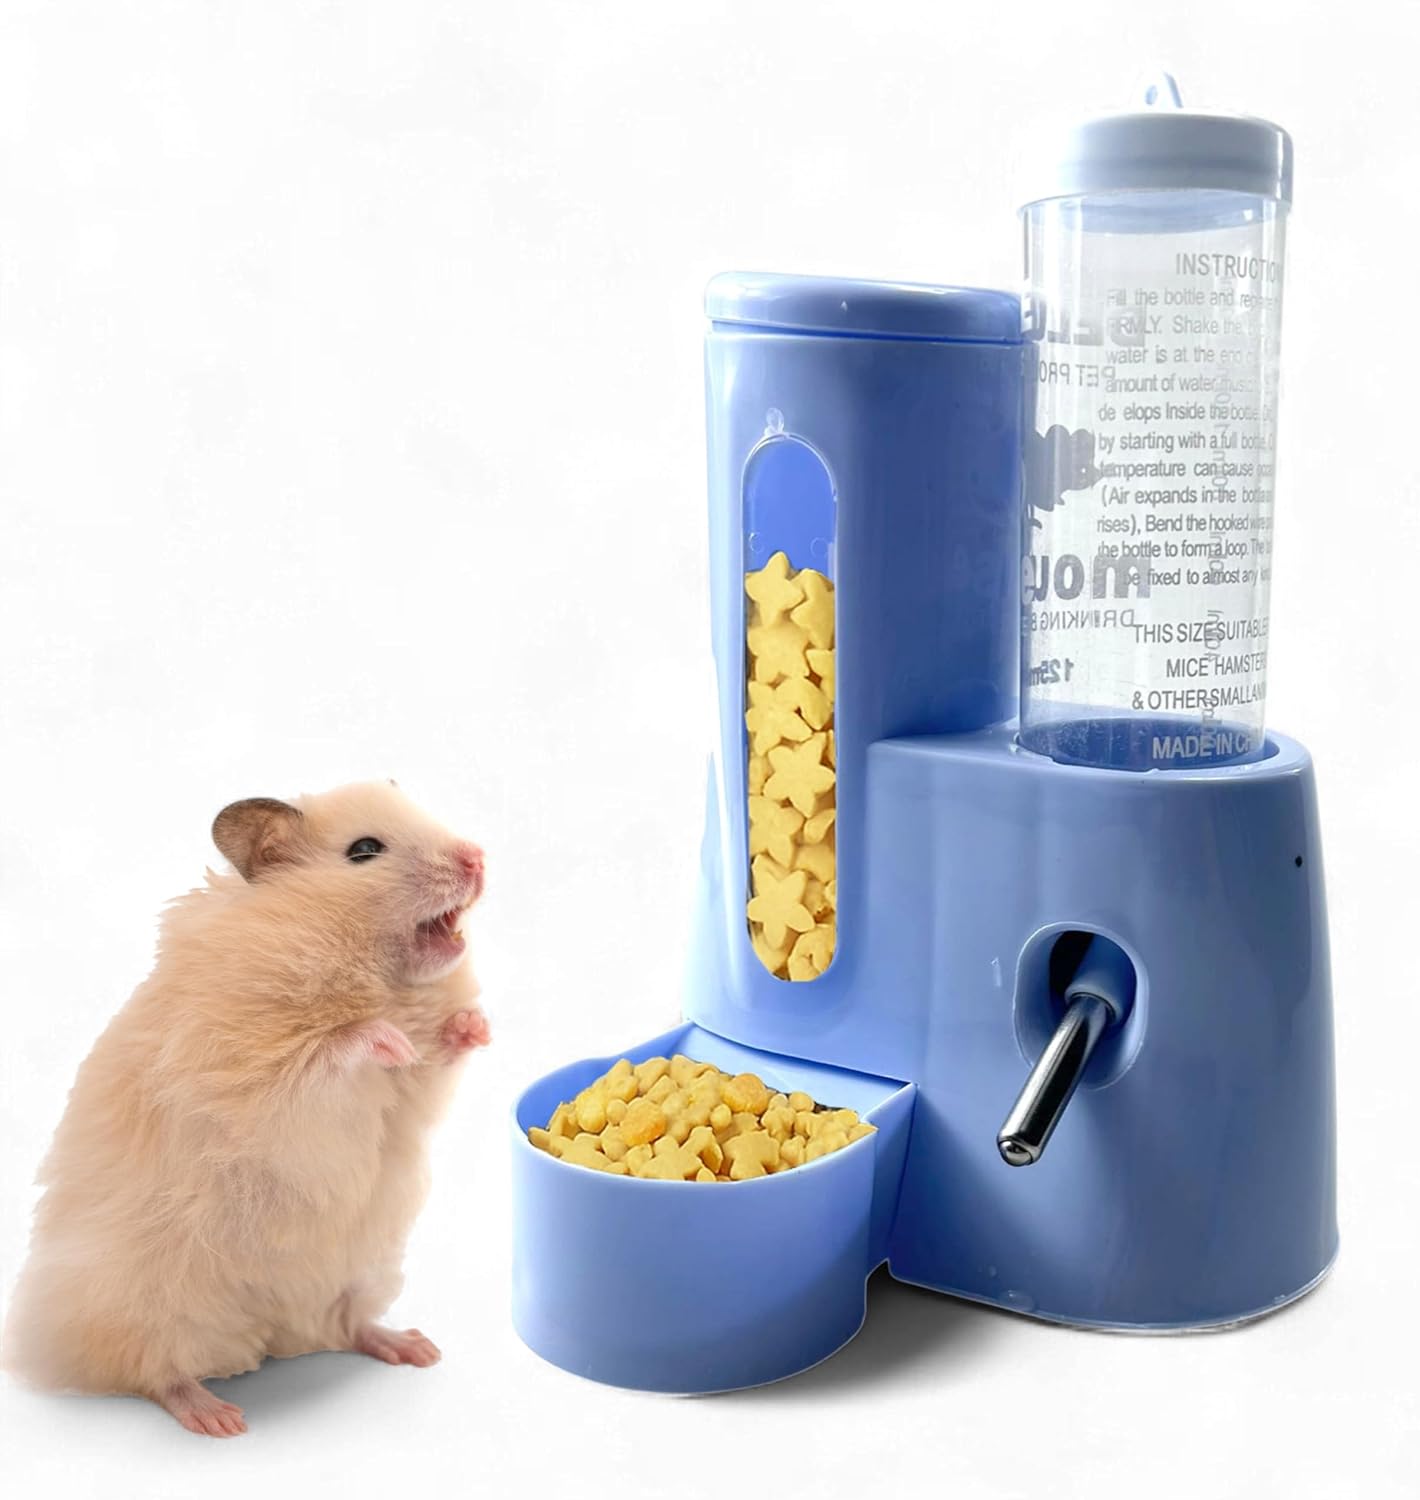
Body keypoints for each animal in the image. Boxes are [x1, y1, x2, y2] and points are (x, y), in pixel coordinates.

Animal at [1, 781, 489, 1437]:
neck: (376, 978)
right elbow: (326, 1055)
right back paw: (218, 1418)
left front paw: (476, 1027)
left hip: (362, 1269)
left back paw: (415, 1347)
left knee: (345, 1326)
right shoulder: (252, 1075)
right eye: (364, 850)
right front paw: (386, 1039)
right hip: (144, 1300)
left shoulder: (415, 1090)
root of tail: (269, 1337)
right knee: (153, 1373)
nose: (477, 859)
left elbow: (434, 1060)